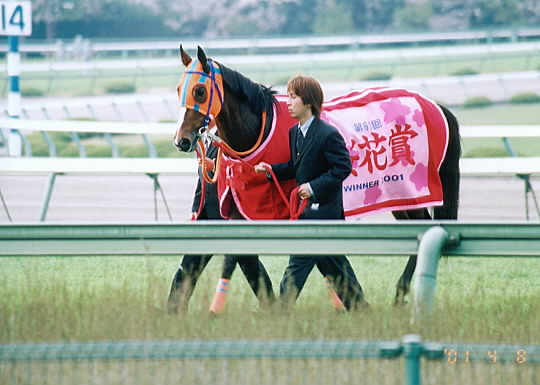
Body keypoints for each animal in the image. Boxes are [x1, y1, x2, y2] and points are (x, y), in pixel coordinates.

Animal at [172, 45, 460, 304]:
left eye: (199, 91)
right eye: (178, 89)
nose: (181, 140)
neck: (257, 137)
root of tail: (437, 106)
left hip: (411, 192)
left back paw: (400, 294)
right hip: (400, 198)